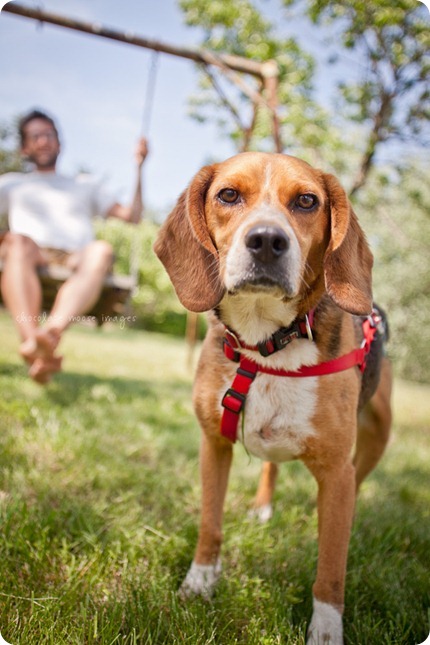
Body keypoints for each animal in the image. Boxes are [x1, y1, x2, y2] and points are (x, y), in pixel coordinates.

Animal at [155, 152, 394, 644]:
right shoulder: (214, 445)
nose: (266, 240)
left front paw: (326, 629)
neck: (266, 345)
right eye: (228, 194)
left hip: (376, 437)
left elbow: (331, 569)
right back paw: (263, 506)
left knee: (357, 484)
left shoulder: (336, 473)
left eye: (306, 201)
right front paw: (199, 582)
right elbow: (210, 525)